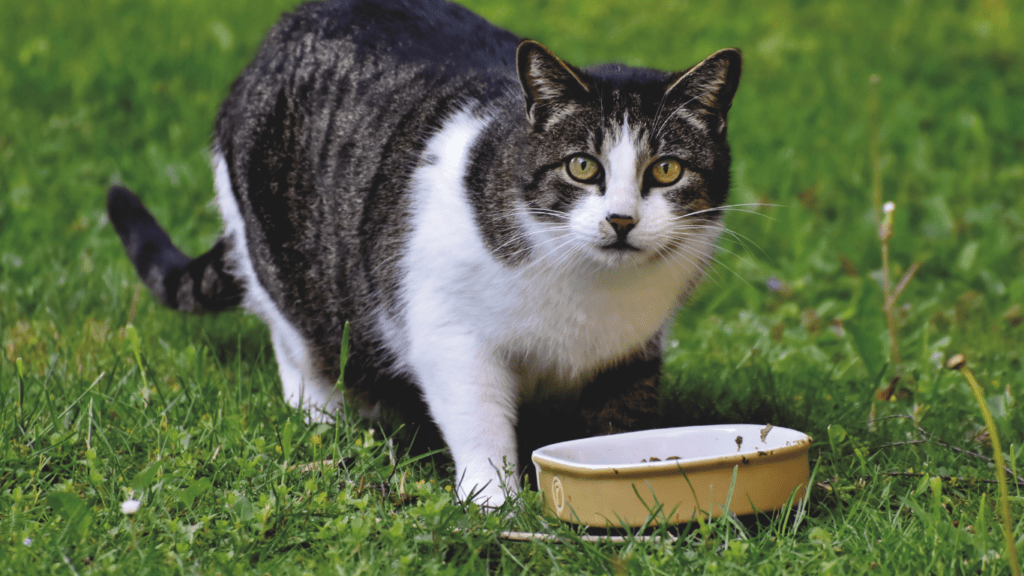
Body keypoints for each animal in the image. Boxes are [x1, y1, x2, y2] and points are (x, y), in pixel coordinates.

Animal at [108, 0, 741, 504]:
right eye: (582, 166)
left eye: (667, 170)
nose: (621, 220)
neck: (590, 289)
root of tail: (277, 36)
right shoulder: (450, 332)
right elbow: (478, 420)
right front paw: (496, 502)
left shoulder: (634, 348)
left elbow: (617, 425)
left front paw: (622, 478)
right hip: (279, 256)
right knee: (295, 341)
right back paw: (327, 414)